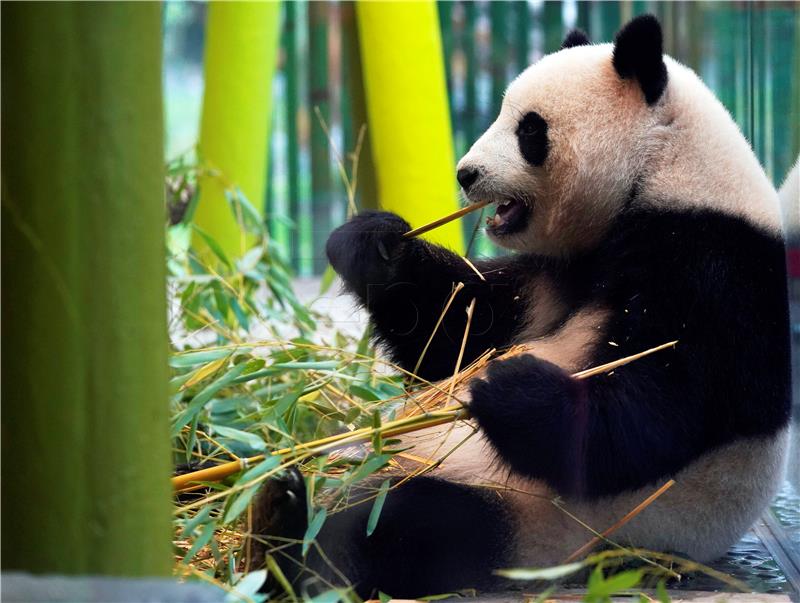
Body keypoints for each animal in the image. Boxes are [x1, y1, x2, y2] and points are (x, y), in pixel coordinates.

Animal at [253, 14, 792, 600]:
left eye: (530, 129)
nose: (466, 174)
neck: (662, 170)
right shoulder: (556, 274)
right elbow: (459, 329)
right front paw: (373, 247)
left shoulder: (715, 270)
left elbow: (653, 413)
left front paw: (511, 389)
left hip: (537, 523)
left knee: (405, 527)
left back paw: (287, 530)